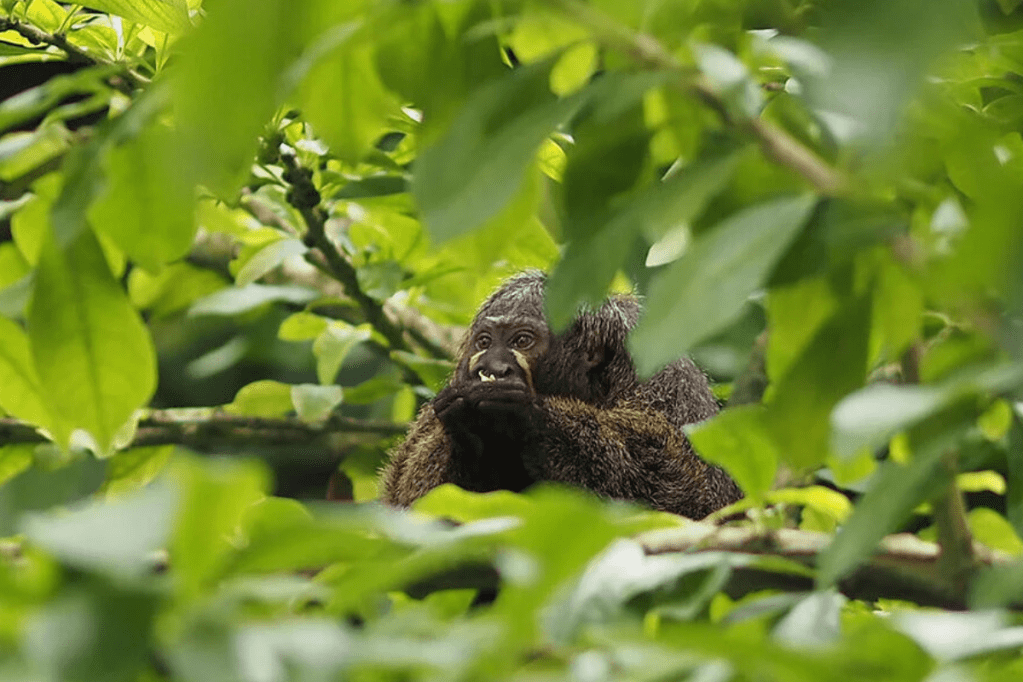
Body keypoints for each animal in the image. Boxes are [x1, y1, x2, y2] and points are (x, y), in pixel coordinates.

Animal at [380, 269, 740, 519]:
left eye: (521, 340)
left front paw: (525, 416)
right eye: (484, 342)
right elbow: (408, 499)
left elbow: (682, 493)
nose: (493, 367)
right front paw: (470, 439)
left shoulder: (669, 382)